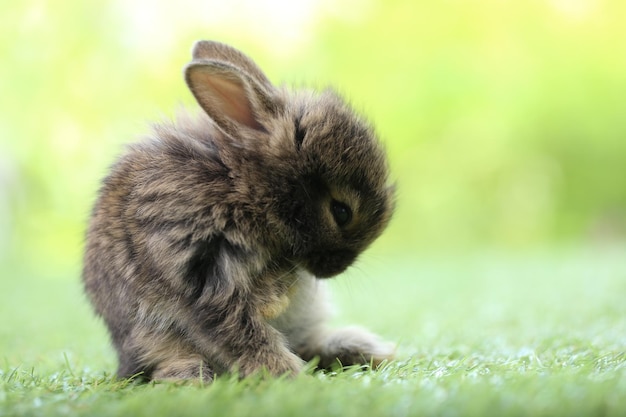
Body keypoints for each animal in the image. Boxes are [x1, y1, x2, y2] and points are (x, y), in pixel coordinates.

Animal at [81, 39, 394, 380]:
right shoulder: (205, 273)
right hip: (155, 338)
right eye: (341, 212)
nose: (337, 269)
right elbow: (241, 331)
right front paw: (285, 373)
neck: (242, 185)